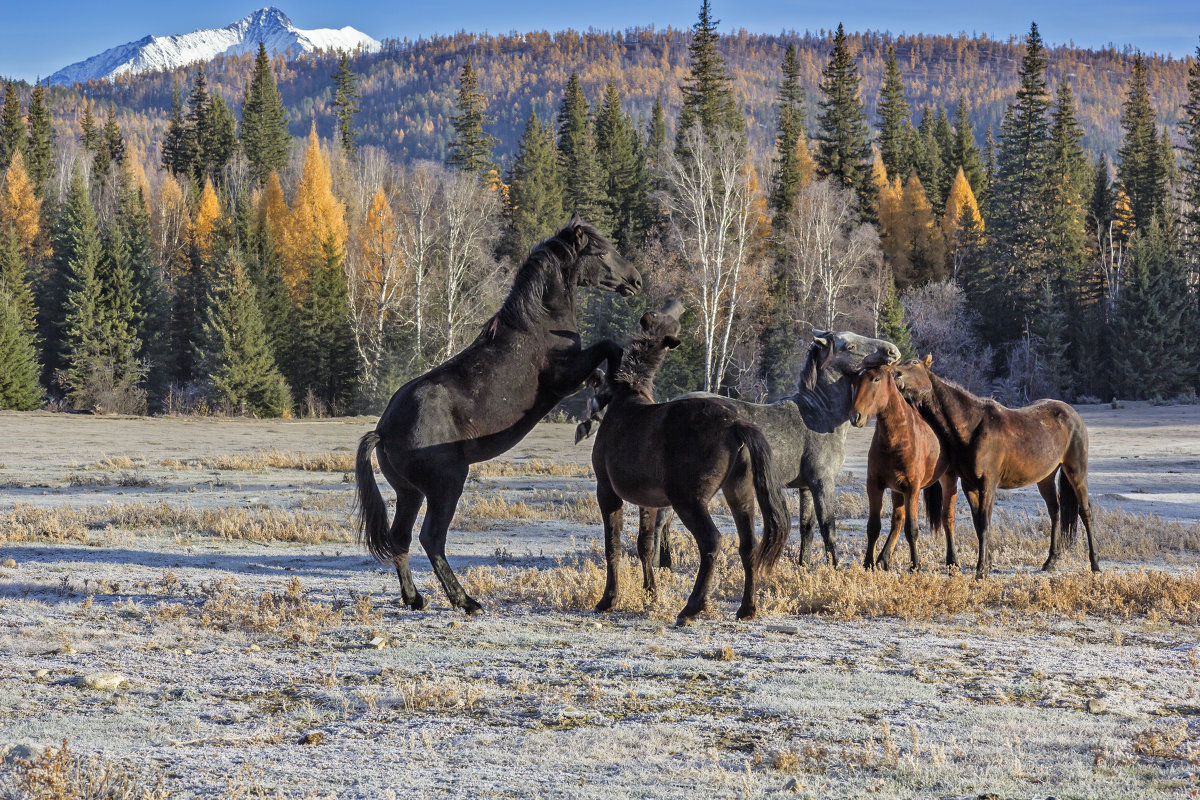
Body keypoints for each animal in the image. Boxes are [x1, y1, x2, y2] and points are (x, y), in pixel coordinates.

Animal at [352, 215, 643, 618]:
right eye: (600, 252)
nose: (635, 280)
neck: (539, 322)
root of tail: (383, 431)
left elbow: (598, 371)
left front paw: (598, 404)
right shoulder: (563, 379)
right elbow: (609, 347)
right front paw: (617, 385)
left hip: (410, 493)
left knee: (401, 538)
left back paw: (415, 599)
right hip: (447, 485)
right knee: (431, 539)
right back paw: (466, 601)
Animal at [578, 331, 902, 568]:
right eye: (850, 345)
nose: (893, 351)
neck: (818, 414)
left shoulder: (806, 486)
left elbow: (807, 527)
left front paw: (804, 565)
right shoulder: (823, 482)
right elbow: (828, 526)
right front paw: (834, 568)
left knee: (663, 521)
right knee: (660, 523)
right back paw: (658, 565)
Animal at [588, 299, 792, 623]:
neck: (626, 398)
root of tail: (735, 425)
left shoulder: (606, 490)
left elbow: (613, 546)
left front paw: (608, 599)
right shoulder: (648, 500)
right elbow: (645, 545)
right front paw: (650, 593)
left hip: (689, 499)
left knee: (712, 540)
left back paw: (691, 608)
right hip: (740, 492)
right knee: (748, 546)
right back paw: (746, 608)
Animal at [854, 367, 955, 573]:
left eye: (876, 379)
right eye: (856, 379)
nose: (856, 416)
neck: (896, 437)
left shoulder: (912, 489)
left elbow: (912, 529)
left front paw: (915, 566)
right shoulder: (875, 485)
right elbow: (873, 527)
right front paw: (868, 564)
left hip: (948, 480)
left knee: (947, 518)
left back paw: (952, 562)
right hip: (896, 490)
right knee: (897, 520)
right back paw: (883, 559)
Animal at [892, 355, 1099, 575]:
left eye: (914, 363)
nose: (895, 373)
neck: (971, 426)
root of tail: (1072, 413)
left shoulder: (988, 485)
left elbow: (984, 525)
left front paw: (981, 569)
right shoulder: (970, 486)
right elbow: (978, 525)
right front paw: (987, 564)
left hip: (1076, 472)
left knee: (1085, 512)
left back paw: (1095, 564)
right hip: (1046, 478)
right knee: (1055, 512)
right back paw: (1051, 560)